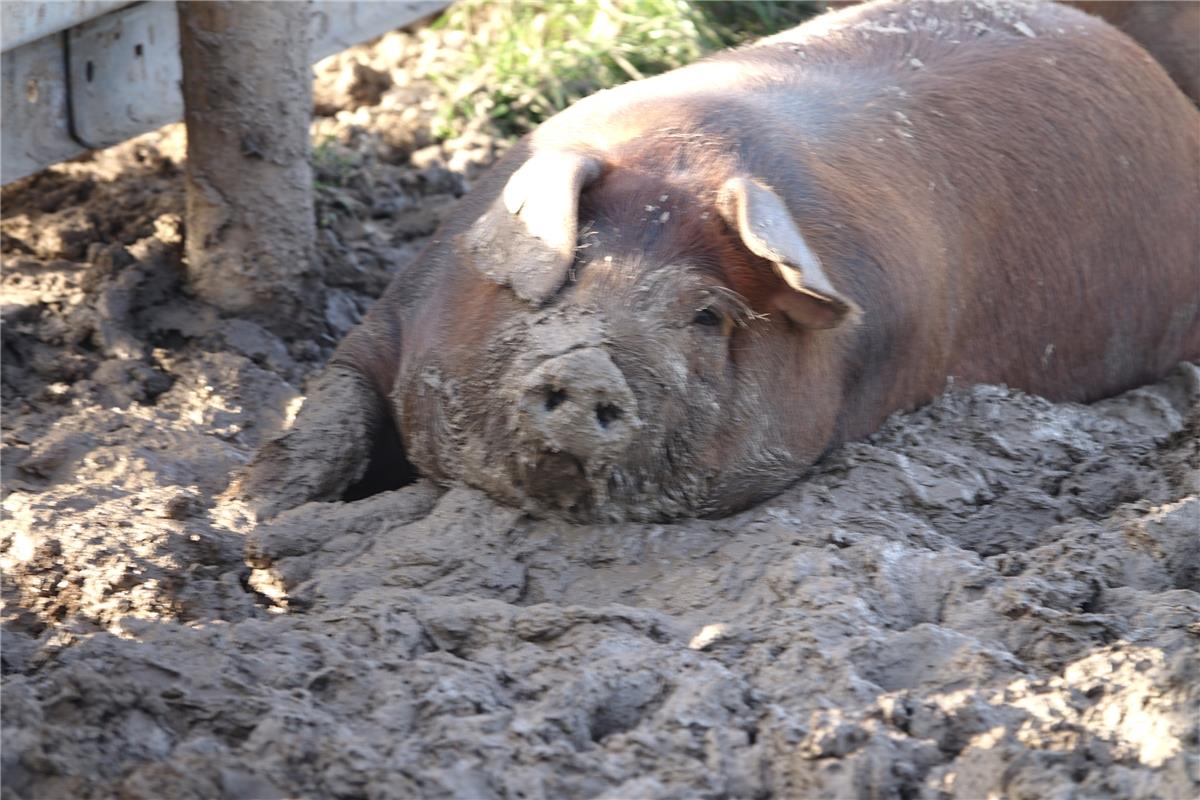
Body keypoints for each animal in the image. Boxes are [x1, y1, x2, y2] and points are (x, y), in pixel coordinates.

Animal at [236, 0, 1200, 525]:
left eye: (706, 316)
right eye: (574, 265)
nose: (591, 370)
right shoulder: (392, 310)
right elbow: (334, 403)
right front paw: (248, 510)